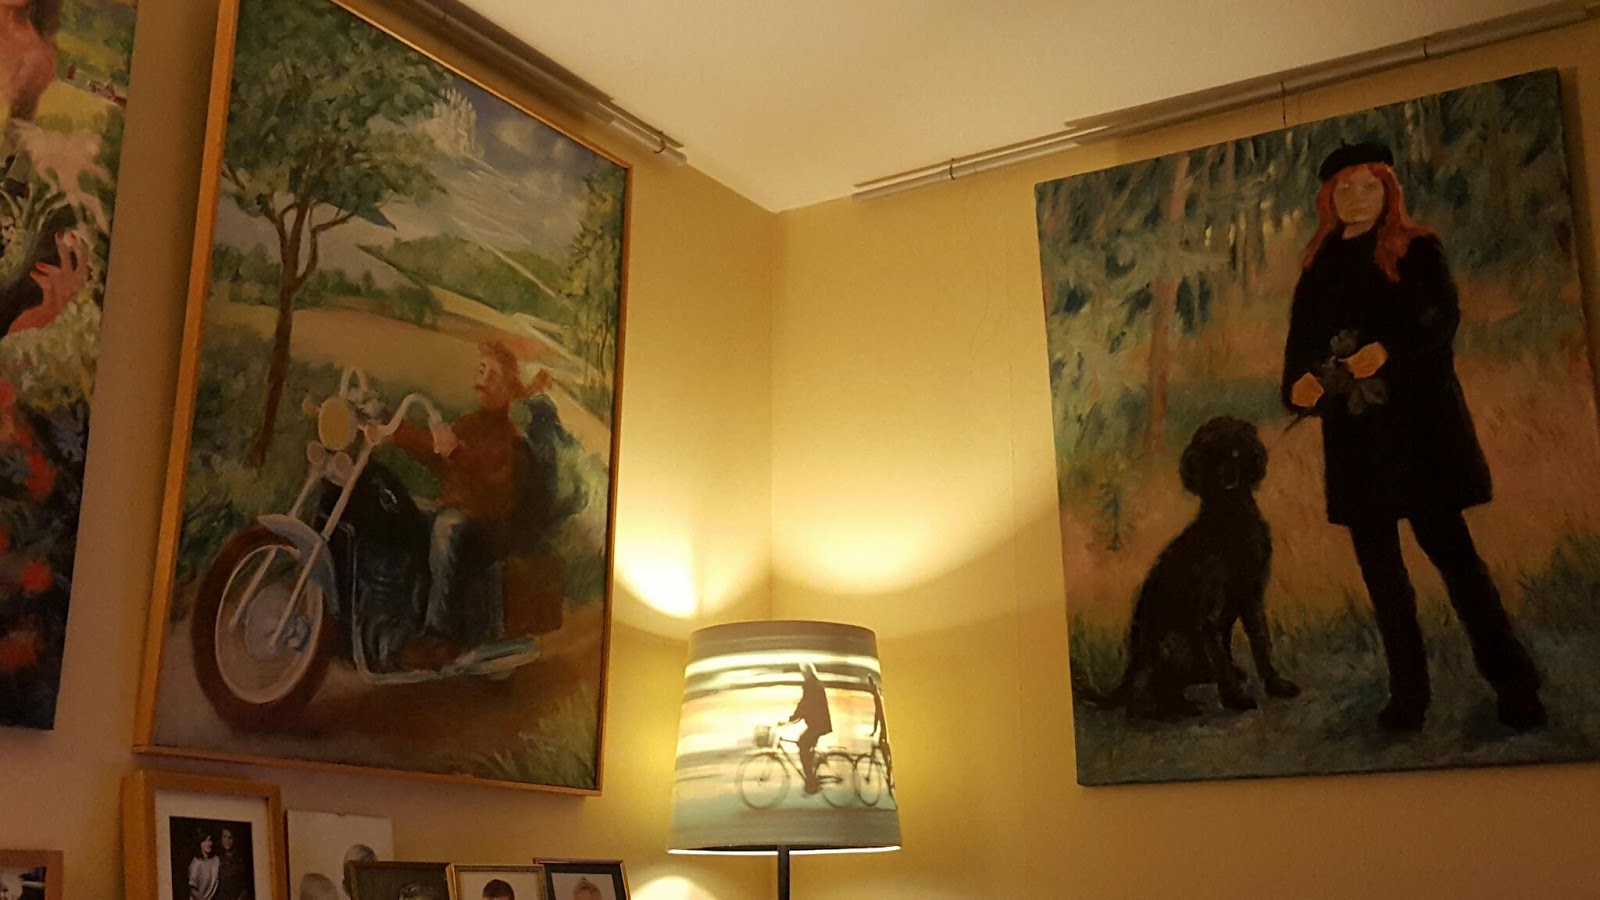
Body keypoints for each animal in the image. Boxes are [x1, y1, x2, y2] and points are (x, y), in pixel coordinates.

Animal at [1080, 415, 1300, 719]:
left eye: (1236, 452)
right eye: (1209, 457)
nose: (1228, 482)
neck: (1231, 518)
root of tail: (1128, 676)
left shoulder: (1252, 597)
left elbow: (1261, 642)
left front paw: (1275, 684)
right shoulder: (1210, 613)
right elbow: (1221, 656)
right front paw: (1235, 698)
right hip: (1171, 642)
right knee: (1143, 701)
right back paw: (1176, 709)